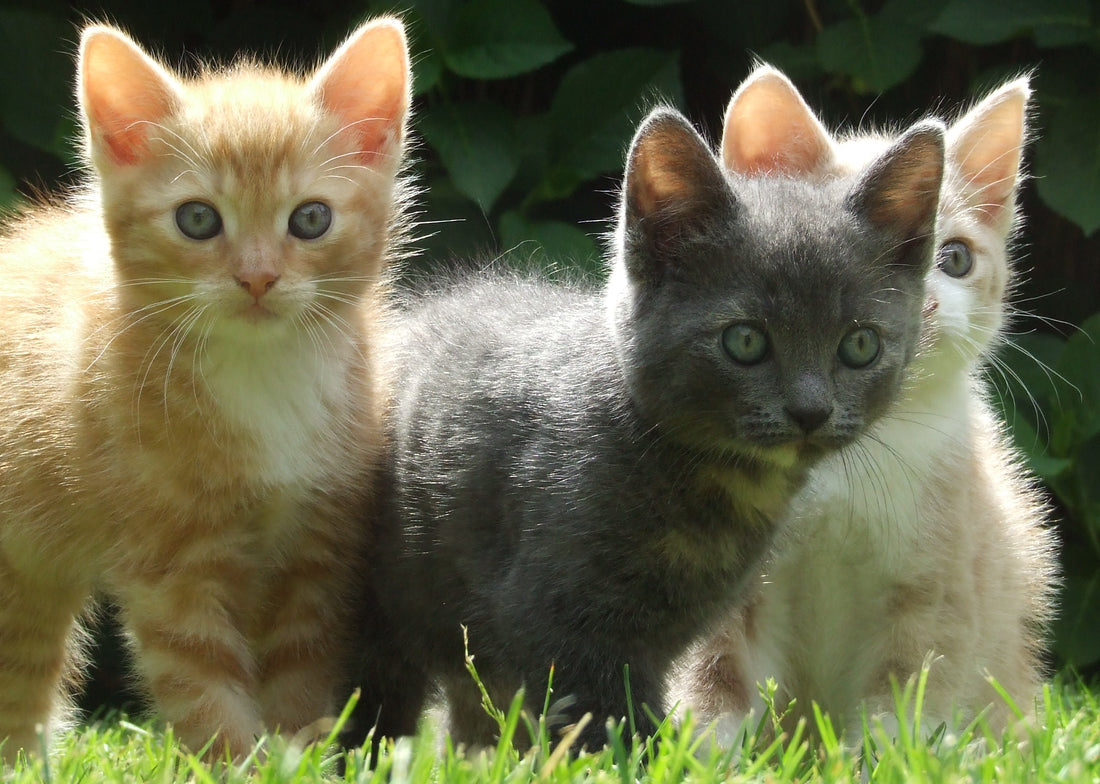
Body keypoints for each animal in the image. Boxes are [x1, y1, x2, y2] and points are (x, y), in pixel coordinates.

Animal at [0, 18, 409, 760]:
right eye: (197, 219)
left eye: (310, 219)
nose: (257, 278)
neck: (261, 373)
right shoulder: (171, 564)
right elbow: (203, 686)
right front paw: (242, 762)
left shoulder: (316, 546)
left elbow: (300, 671)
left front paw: (298, 757)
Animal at [664, 65, 1060, 747]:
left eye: (954, 258)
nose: (923, 305)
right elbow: (715, 668)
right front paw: (703, 749)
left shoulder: (941, 576)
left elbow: (907, 687)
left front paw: (885, 754)